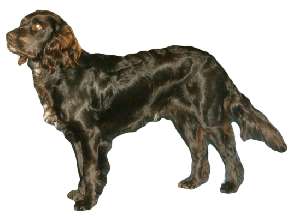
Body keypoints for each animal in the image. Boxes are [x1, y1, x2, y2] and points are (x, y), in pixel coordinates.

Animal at [6, 10, 286, 211]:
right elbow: (81, 168)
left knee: (230, 153)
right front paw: (81, 193)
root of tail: (215, 63)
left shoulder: (89, 134)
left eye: (38, 27)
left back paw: (231, 185)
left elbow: (89, 169)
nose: (8, 36)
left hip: (210, 118)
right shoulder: (76, 137)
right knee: (199, 152)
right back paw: (193, 182)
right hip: (185, 121)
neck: (60, 71)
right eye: (22, 23)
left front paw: (87, 202)